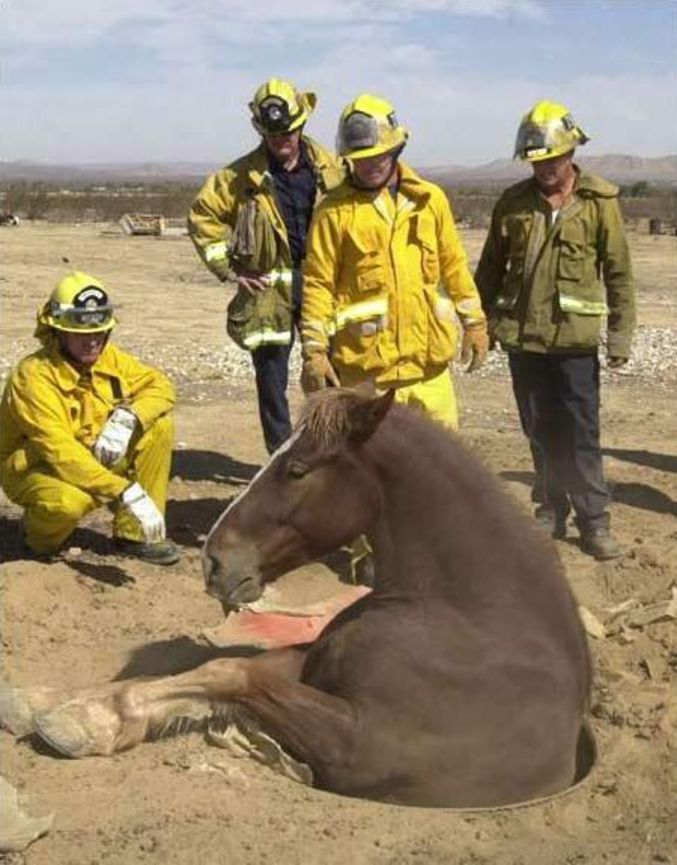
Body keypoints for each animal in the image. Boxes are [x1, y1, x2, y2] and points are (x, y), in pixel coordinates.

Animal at [0, 388, 588, 808]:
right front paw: (64, 705)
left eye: (297, 469)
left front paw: (85, 718)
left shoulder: (358, 742)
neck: (471, 615)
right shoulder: (310, 665)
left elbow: (230, 674)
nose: (214, 562)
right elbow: (209, 670)